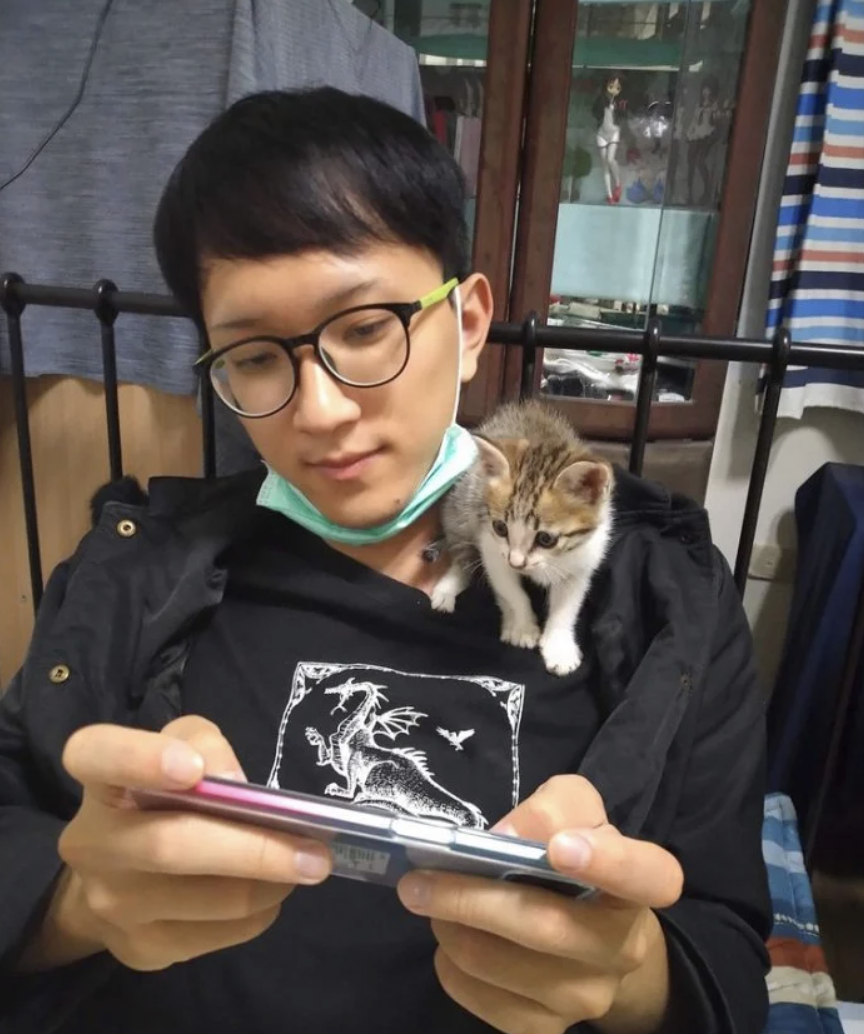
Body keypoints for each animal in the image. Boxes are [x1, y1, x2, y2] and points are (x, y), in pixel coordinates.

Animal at [430, 400, 614, 676]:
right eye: (501, 528)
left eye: (546, 539)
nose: (517, 563)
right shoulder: (492, 548)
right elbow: (511, 591)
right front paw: (523, 627)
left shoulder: (583, 559)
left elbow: (566, 607)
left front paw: (559, 646)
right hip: (462, 507)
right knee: (463, 555)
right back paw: (449, 589)